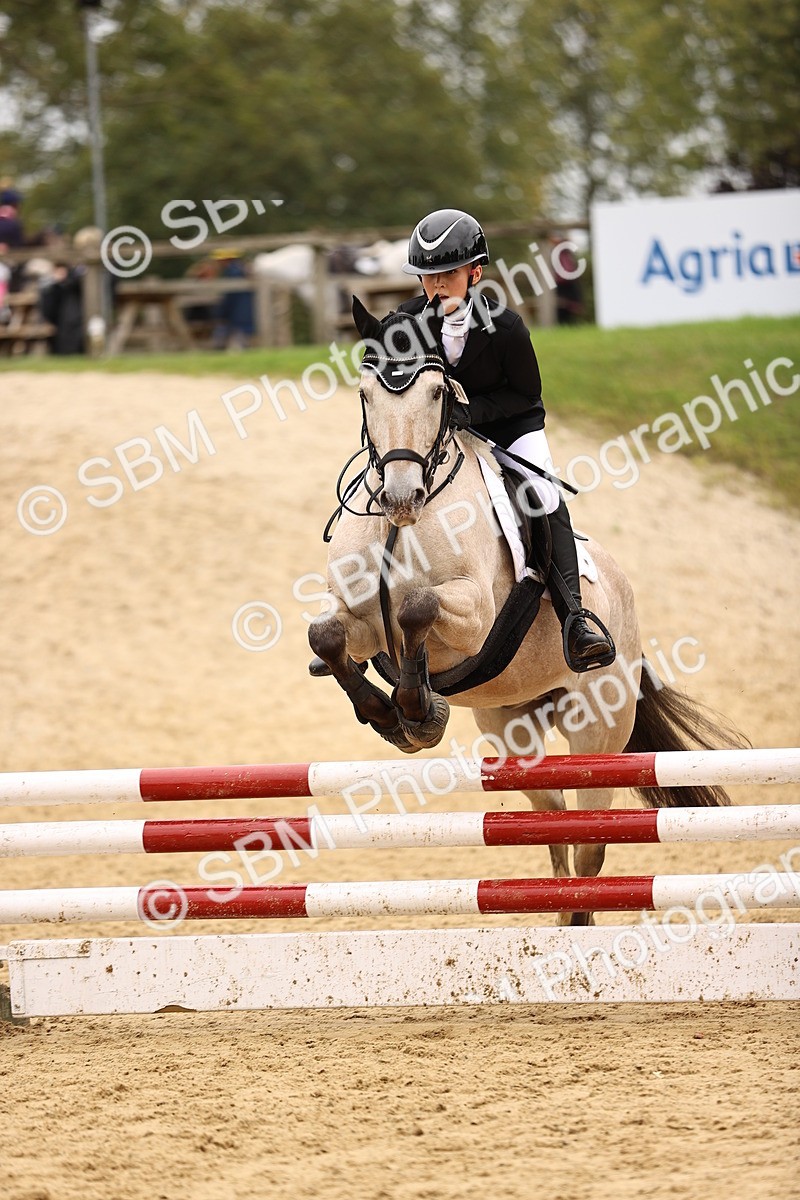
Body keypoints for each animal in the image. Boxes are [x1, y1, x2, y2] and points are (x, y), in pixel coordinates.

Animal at [308, 298, 741, 924]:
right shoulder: (361, 622)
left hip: (596, 731)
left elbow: (416, 607)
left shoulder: (472, 617)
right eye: (366, 393)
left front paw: (418, 711)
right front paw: (390, 716)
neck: (403, 528)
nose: (400, 498)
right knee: (553, 826)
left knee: (587, 843)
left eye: (438, 393)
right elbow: (327, 637)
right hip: (513, 729)